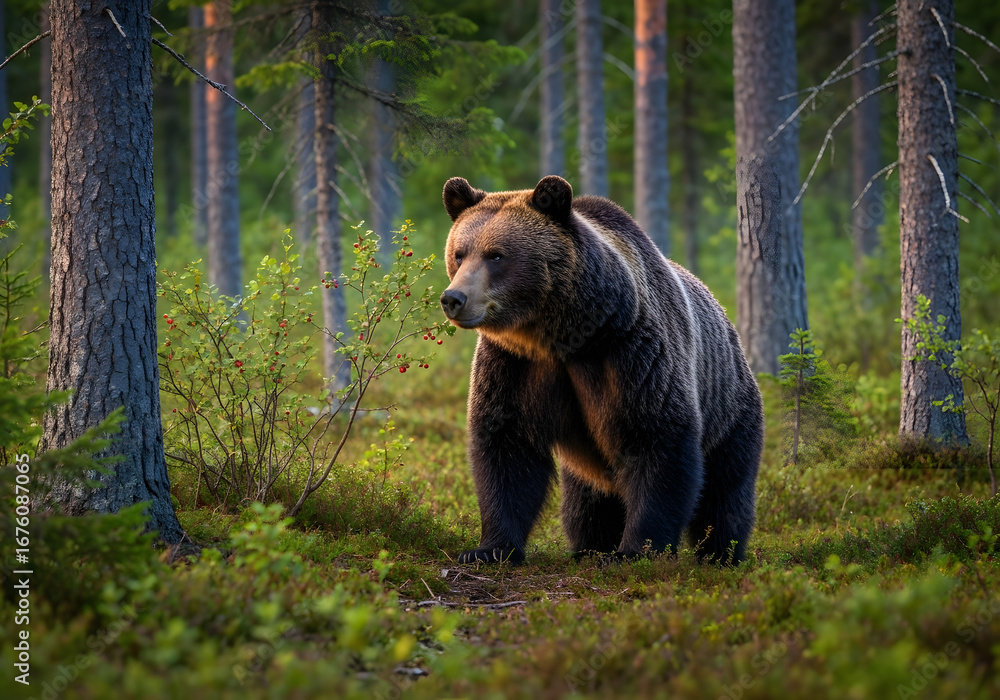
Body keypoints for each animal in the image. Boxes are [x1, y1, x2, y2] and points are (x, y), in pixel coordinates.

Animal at [440, 175, 763, 565]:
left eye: (496, 255)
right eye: (460, 253)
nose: (453, 298)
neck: (562, 336)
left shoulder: (630, 353)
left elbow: (657, 439)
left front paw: (637, 549)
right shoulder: (513, 364)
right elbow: (507, 447)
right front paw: (489, 549)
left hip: (729, 408)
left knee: (725, 489)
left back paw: (721, 553)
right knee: (587, 501)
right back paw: (590, 546)